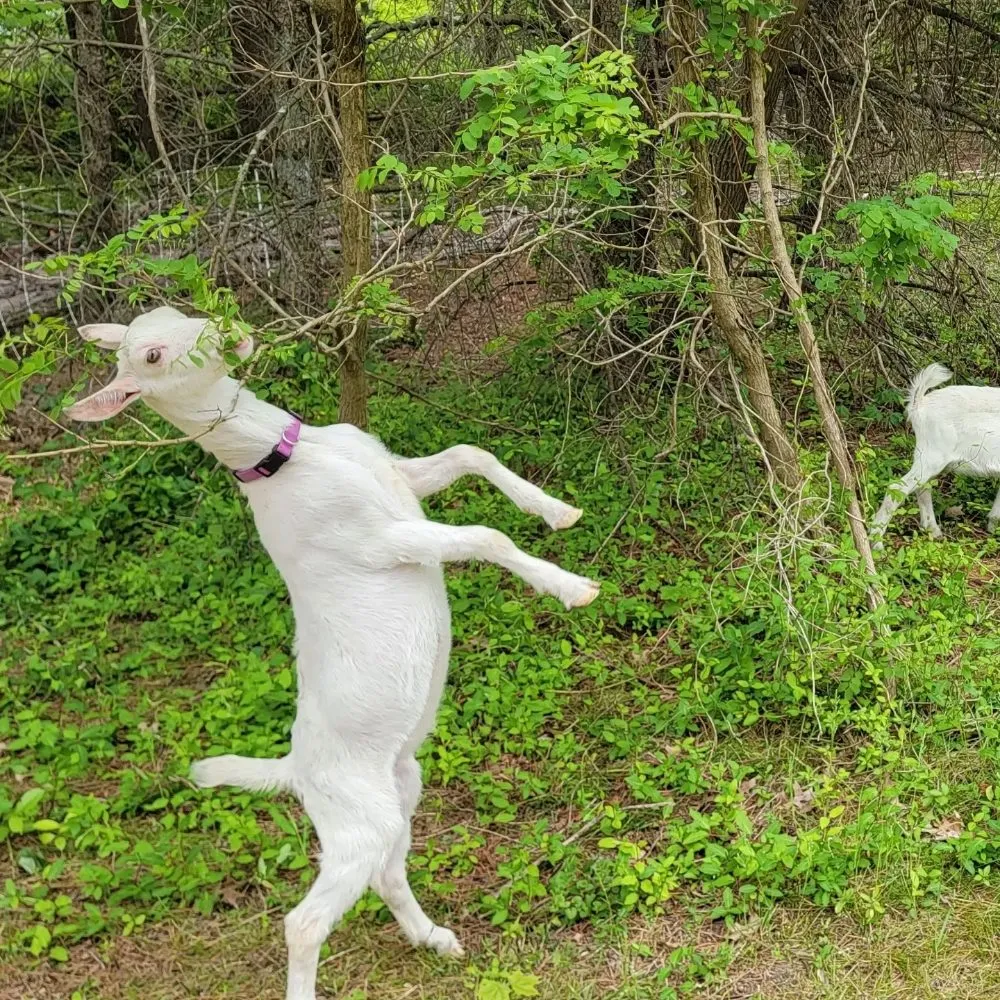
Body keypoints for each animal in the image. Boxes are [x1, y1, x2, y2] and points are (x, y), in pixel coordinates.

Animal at [65, 306, 600, 1000]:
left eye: (177, 313)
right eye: (151, 356)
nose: (229, 325)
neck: (294, 458)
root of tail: (293, 770)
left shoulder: (399, 476)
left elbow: (469, 452)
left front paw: (560, 511)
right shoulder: (379, 539)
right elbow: (486, 536)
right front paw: (573, 587)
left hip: (397, 793)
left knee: (386, 873)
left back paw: (437, 939)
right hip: (354, 822)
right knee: (304, 922)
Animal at [871, 363, 1000, 547]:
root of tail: (919, 404)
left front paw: (992, 528)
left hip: (930, 460)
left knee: (923, 488)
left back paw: (933, 531)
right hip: (931, 457)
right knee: (897, 489)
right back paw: (876, 544)